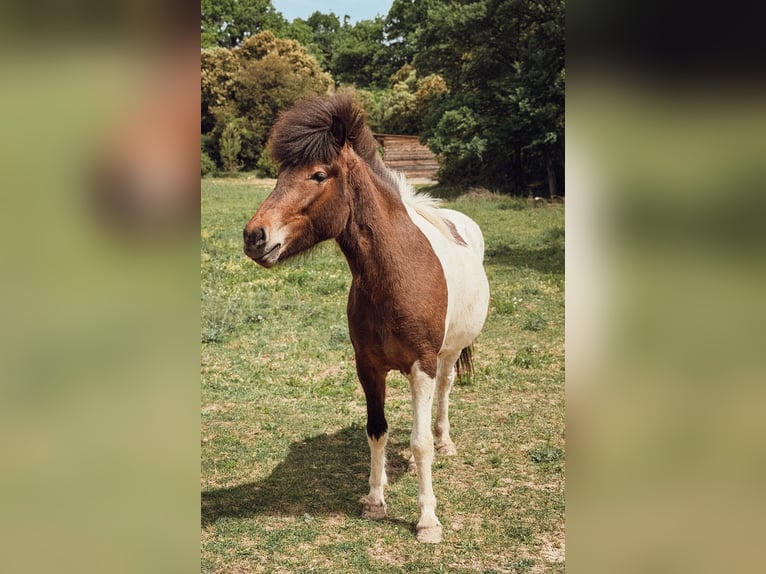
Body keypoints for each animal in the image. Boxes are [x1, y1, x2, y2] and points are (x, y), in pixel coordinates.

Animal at [243, 92, 490, 543]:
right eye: (280, 174)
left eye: (318, 175)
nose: (255, 237)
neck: (396, 274)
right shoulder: (368, 367)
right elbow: (377, 431)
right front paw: (375, 500)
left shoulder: (422, 364)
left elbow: (420, 442)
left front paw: (428, 520)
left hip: (447, 354)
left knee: (443, 395)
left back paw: (445, 443)